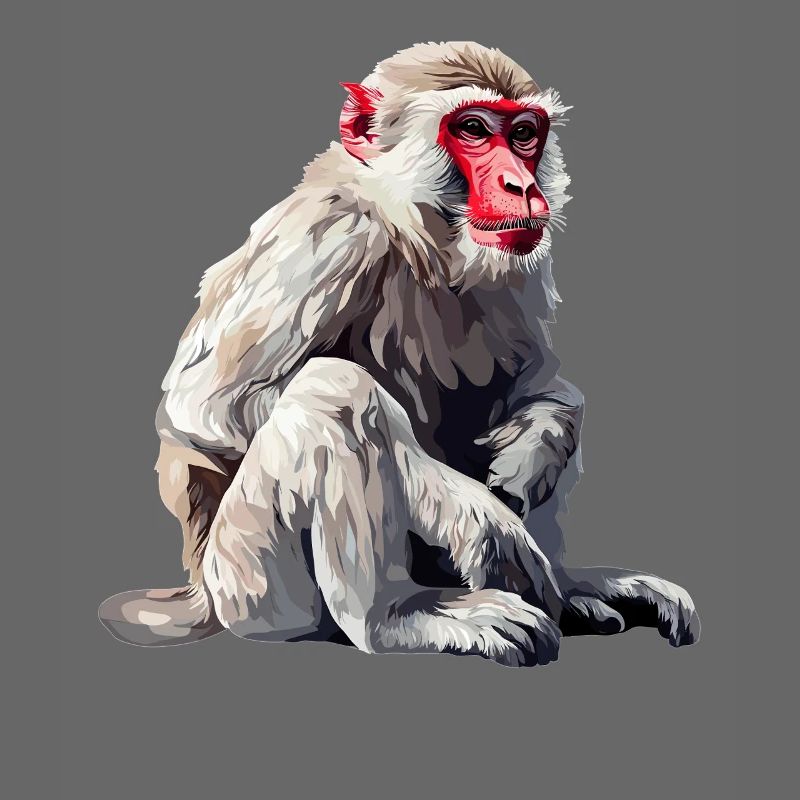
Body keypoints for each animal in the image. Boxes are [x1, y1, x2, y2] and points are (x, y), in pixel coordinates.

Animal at [99, 42, 699, 666]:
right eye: (473, 129)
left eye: (523, 134)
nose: (520, 185)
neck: (417, 231)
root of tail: (202, 594)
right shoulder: (330, 235)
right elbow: (206, 411)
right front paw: (470, 511)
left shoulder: (520, 260)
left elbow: (540, 384)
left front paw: (535, 447)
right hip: (250, 584)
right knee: (333, 392)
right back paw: (397, 616)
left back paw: (571, 590)